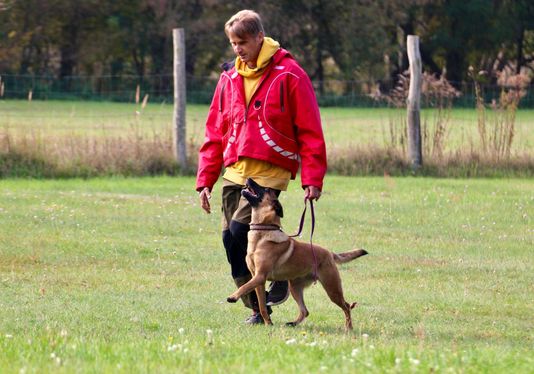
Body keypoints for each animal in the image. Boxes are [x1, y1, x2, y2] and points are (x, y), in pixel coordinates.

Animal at [226, 178, 368, 330]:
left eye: (266, 189)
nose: (249, 179)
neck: (262, 232)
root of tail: (329, 253)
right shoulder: (257, 280)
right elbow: (262, 306)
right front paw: (268, 324)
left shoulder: (260, 276)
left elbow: (244, 286)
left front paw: (233, 297)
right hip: (295, 287)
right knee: (305, 311)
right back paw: (293, 323)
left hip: (332, 288)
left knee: (346, 306)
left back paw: (349, 328)